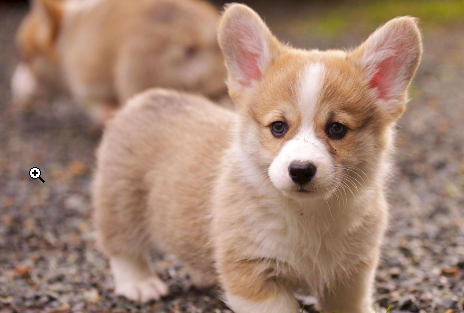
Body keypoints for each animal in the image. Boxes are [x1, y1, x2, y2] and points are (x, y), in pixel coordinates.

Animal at [92, 4, 422, 312]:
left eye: (337, 129)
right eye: (278, 127)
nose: (301, 170)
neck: (308, 214)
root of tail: (149, 97)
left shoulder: (351, 274)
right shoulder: (252, 273)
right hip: (121, 202)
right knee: (121, 247)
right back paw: (140, 284)